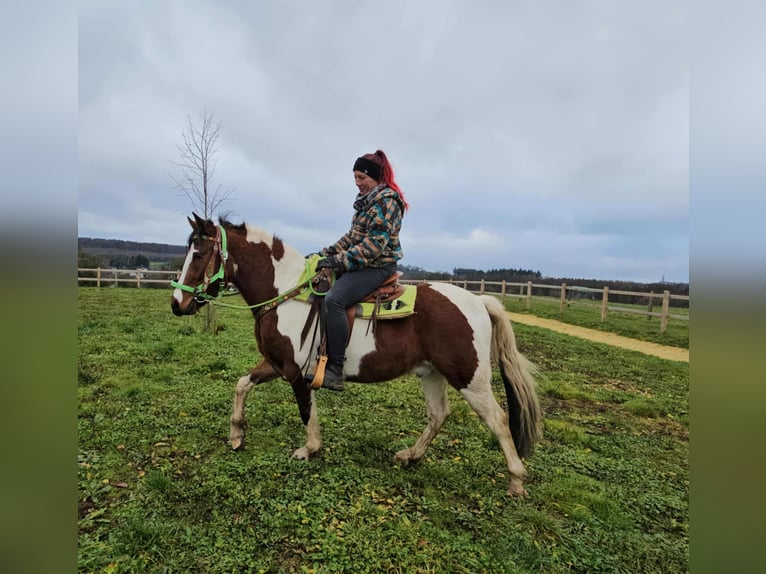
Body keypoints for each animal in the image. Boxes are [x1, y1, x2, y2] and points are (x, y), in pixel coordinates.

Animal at [170, 213, 542, 496]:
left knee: (498, 420)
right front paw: (236, 434)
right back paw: (410, 455)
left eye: (199, 255)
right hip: (433, 373)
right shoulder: (276, 364)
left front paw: (309, 449)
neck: (286, 293)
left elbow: (306, 410)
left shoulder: (295, 371)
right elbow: (241, 384)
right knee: (439, 415)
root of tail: (479, 301)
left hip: (469, 378)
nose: (177, 303)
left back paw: (516, 481)